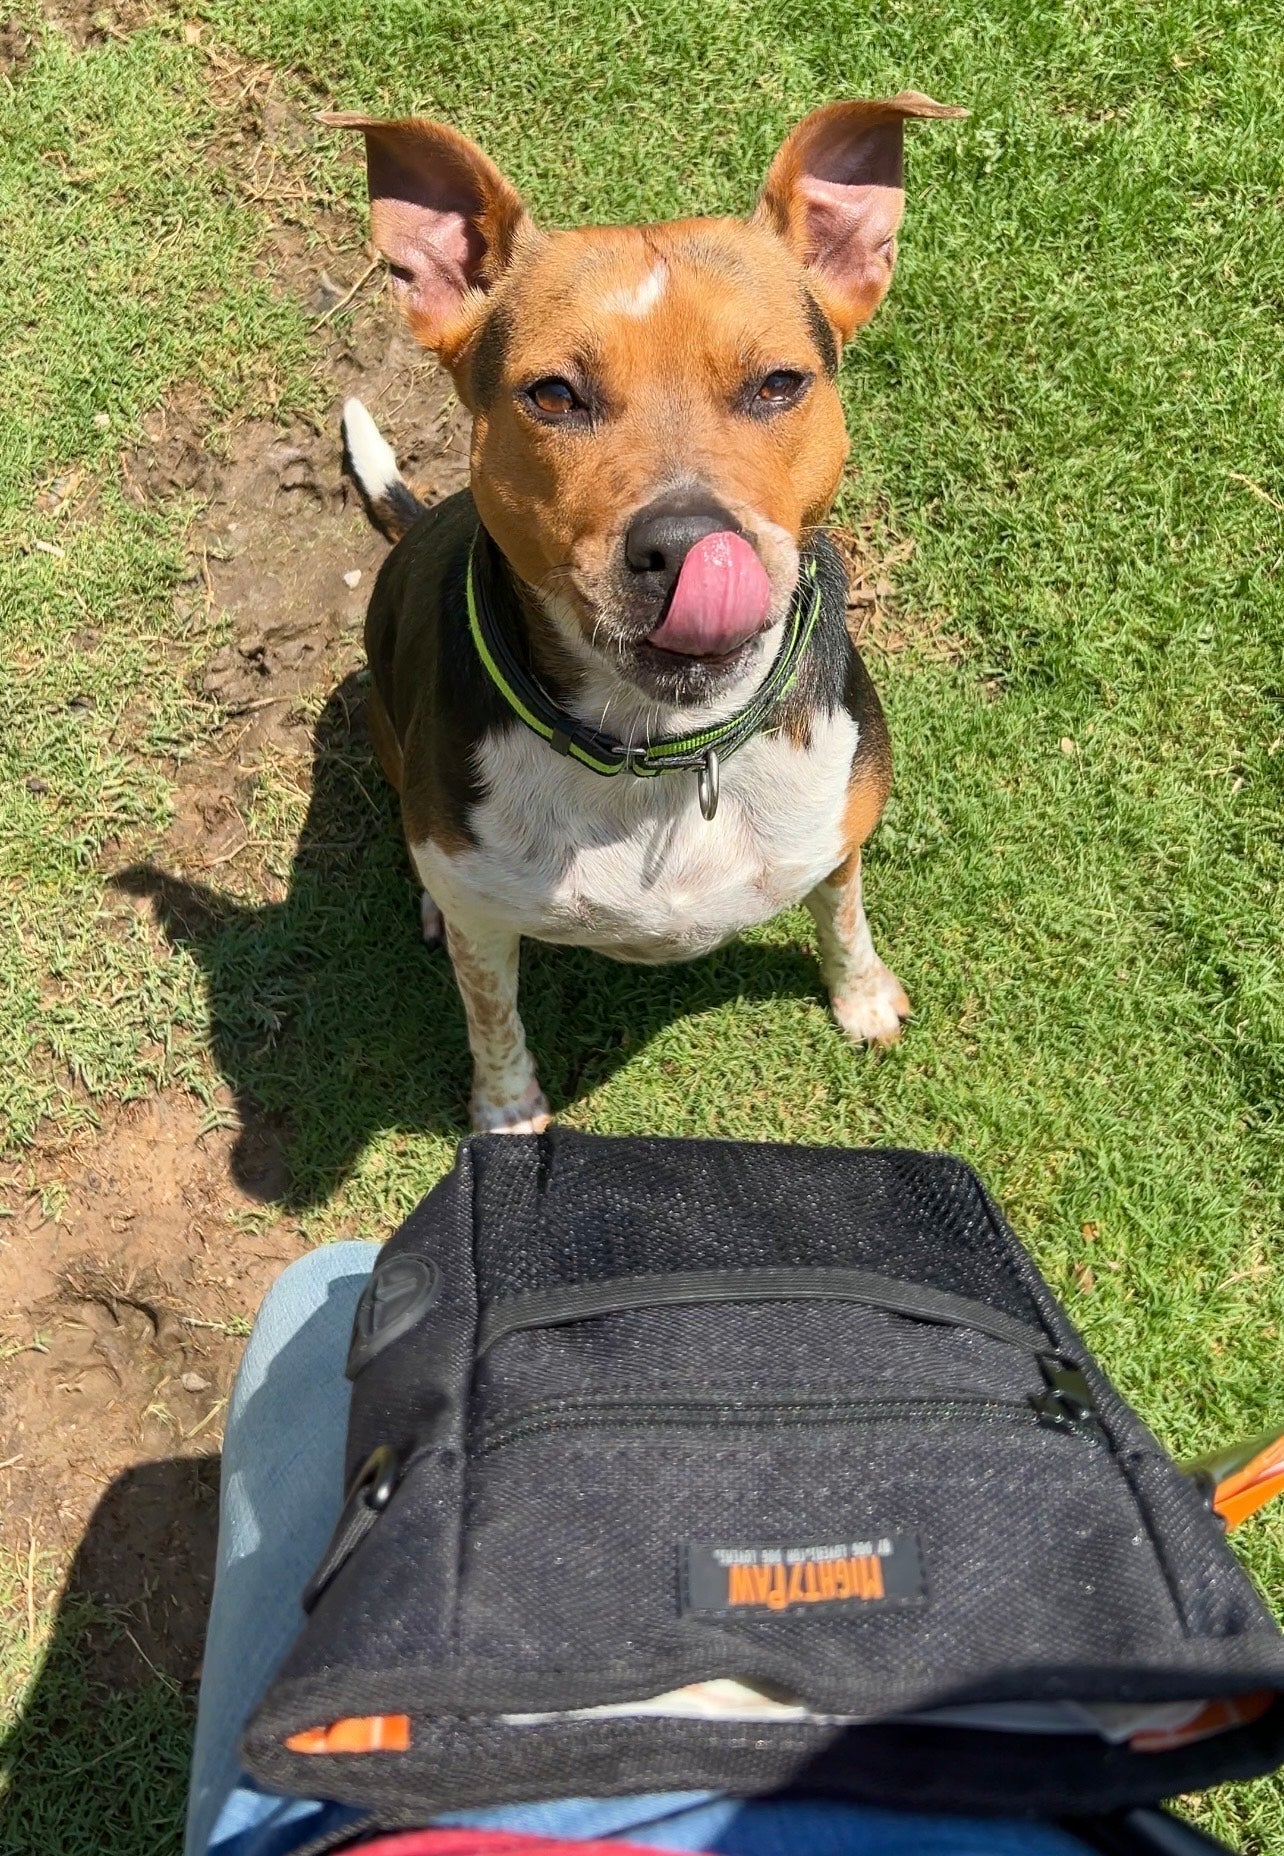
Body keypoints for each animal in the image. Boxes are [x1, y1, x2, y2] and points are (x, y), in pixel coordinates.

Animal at [328, 94, 964, 1135]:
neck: (661, 748)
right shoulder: (484, 929)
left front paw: (862, 996)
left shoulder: (838, 830)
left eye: (780, 384)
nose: (684, 544)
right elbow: (491, 1007)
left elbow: (843, 912)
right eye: (553, 394)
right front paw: (507, 1115)